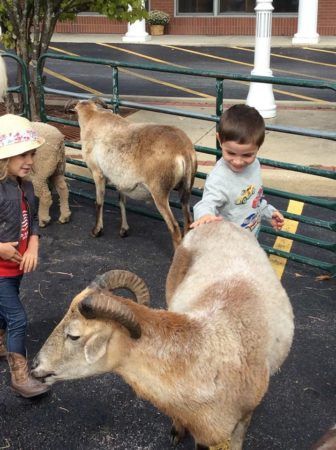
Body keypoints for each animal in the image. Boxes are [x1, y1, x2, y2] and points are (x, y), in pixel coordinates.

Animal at [66, 99, 197, 250]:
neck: (91, 117)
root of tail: (184, 151)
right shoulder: (120, 181)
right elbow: (121, 201)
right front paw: (124, 230)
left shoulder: (97, 172)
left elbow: (99, 202)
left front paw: (96, 231)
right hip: (185, 189)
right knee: (188, 222)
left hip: (160, 191)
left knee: (174, 227)